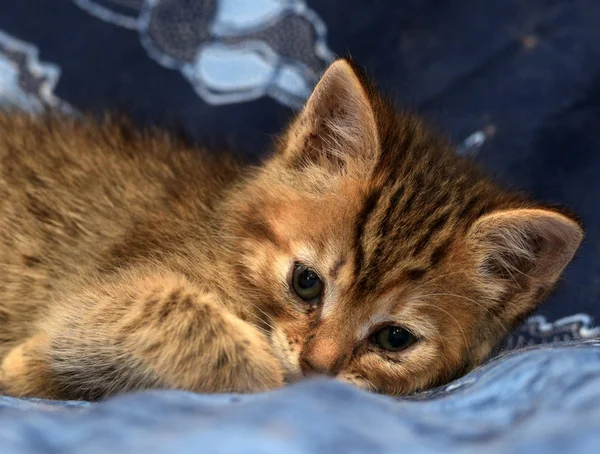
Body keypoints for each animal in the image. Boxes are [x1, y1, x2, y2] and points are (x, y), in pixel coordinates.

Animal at [0, 58, 584, 400]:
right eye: (306, 282)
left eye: (394, 338)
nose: (314, 364)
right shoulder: (99, 294)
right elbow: (183, 315)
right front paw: (28, 367)